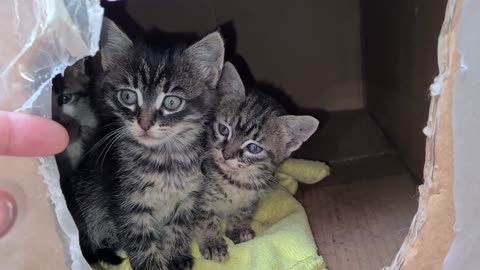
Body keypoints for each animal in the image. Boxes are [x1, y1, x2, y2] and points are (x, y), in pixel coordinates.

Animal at [70, 17, 227, 268]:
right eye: (128, 96)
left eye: (171, 102)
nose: (144, 124)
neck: (165, 157)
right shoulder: (128, 204)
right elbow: (140, 242)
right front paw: (153, 263)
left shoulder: (188, 198)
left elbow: (178, 230)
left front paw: (177, 256)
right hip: (85, 195)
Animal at [195, 63, 318, 262]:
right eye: (223, 130)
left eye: (253, 148)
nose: (226, 154)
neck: (236, 180)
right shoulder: (196, 197)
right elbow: (205, 219)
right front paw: (212, 243)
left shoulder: (251, 199)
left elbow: (242, 213)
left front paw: (238, 229)